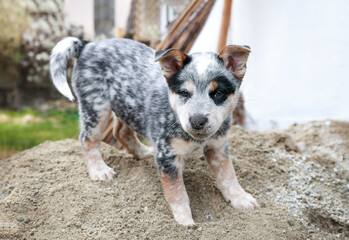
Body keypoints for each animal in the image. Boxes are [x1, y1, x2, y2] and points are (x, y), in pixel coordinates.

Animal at [51, 37, 258, 225]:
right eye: (184, 93)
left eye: (219, 93)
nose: (197, 121)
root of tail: (88, 44)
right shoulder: (167, 156)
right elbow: (177, 192)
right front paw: (185, 222)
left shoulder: (218, 146)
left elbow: (229, 175)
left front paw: (240, 198)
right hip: (96, 107)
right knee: (88, 139)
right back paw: (99, 171)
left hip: (128, 106)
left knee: (121, 132)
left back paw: (144, 153)